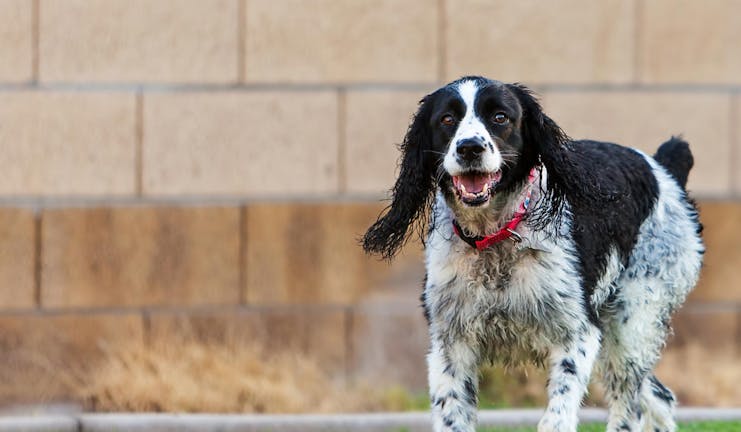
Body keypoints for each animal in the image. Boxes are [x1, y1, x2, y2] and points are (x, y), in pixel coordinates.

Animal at [362, 76, 704, 430]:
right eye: (446, 119)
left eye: (500, 117)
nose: (469, 147)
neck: (495, 238)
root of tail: (663, 169)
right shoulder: (450, 342)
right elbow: (452, 415)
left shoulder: (577, 333)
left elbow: (557, 417)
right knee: (660, 398)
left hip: (631, 324)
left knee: (630, 407)